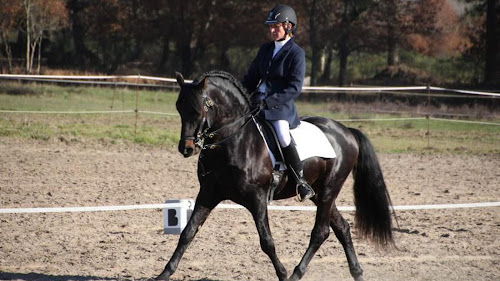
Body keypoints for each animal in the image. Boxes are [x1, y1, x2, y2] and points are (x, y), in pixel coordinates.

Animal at [156, 70, 394, 280]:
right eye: (179, 107)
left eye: (202, 107)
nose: (187, 148)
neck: (233, 142)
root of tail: (347, 131)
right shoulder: (208, 194)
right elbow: (187, 233)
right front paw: (164, 274)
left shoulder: (257, 198)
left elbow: (267, 241)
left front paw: (282, 274)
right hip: (319, 193)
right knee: (342, 228)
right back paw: (357, 272)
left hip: (329, 189)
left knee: (320, 232)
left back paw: (296, 274)